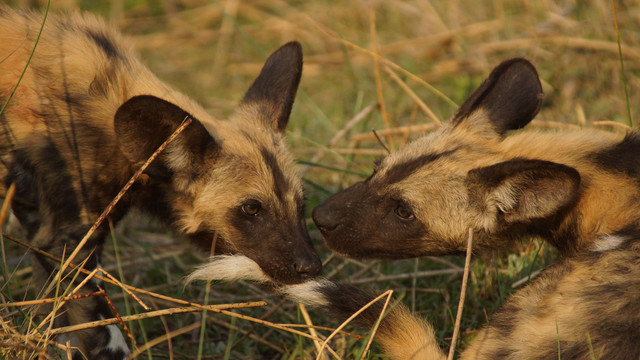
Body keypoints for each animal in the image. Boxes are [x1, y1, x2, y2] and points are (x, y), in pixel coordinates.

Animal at [0, 5, 320, 360]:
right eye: (251, 208)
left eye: (301, 205)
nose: (312, 266)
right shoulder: (68, 245)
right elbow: (102, 332)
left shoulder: (42, 237)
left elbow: (56, 322)